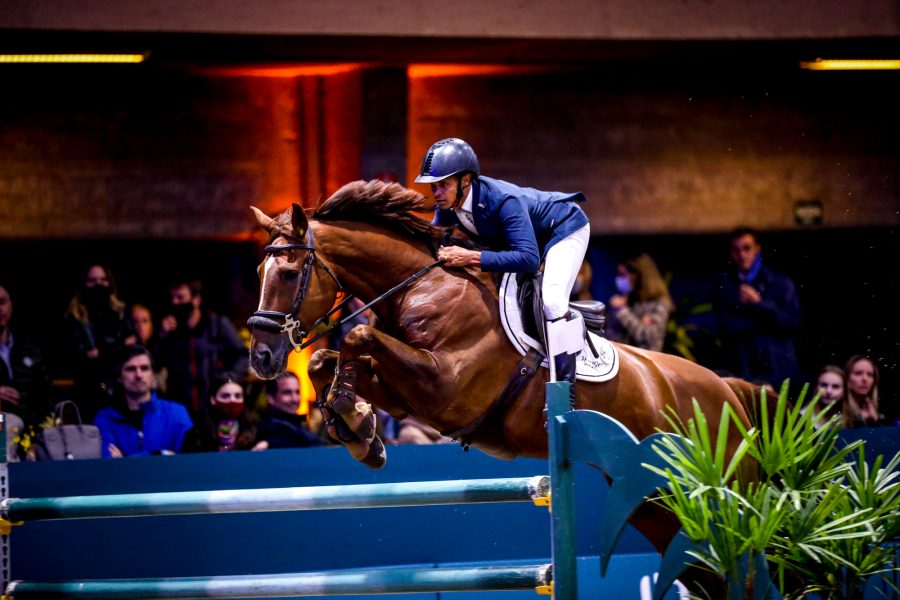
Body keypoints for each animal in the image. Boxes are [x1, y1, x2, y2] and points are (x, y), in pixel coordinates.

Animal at [248, 182, 760, 556]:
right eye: (257, 273)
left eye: (289, 273)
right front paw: (358, 429)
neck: (419, 287)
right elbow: (327, 358)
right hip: (655, 506)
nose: (261, 358)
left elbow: (355, 339)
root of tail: (728, 388)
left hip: (720, 489)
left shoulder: (443, 386)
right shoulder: (410, 392)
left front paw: (351, 417)